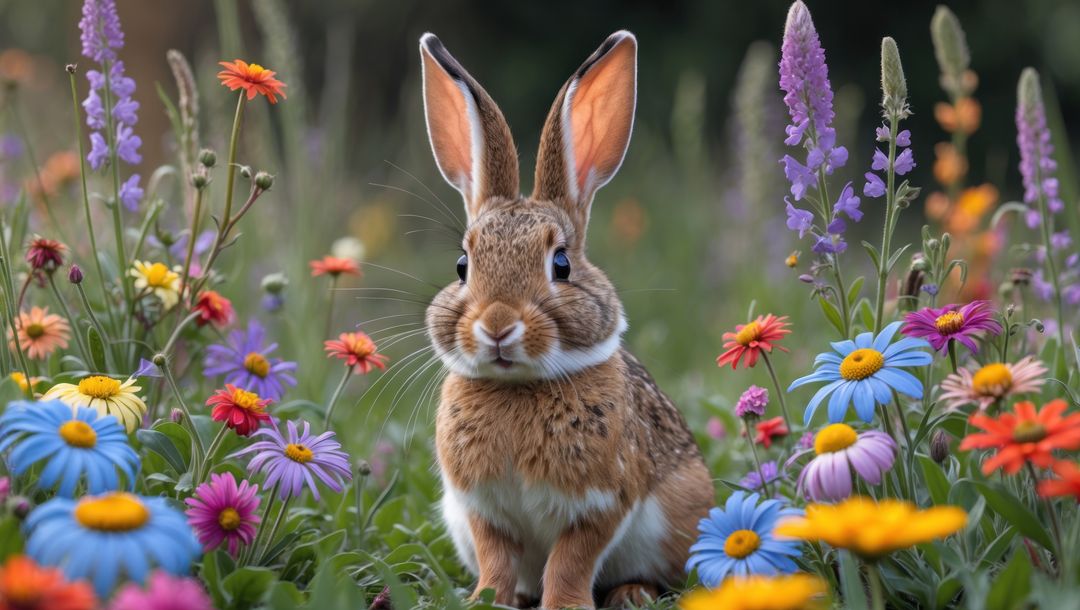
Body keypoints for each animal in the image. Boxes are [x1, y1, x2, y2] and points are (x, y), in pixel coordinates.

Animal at [419, 30, 714, 610]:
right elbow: (496, 559)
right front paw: (485, 599)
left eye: (561, 265)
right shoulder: (482, 511)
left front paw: (565, 604)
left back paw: (632, 593)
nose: (497, 325)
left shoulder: (602, 504)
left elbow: (571, 560)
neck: (518, 388)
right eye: (463, 266)